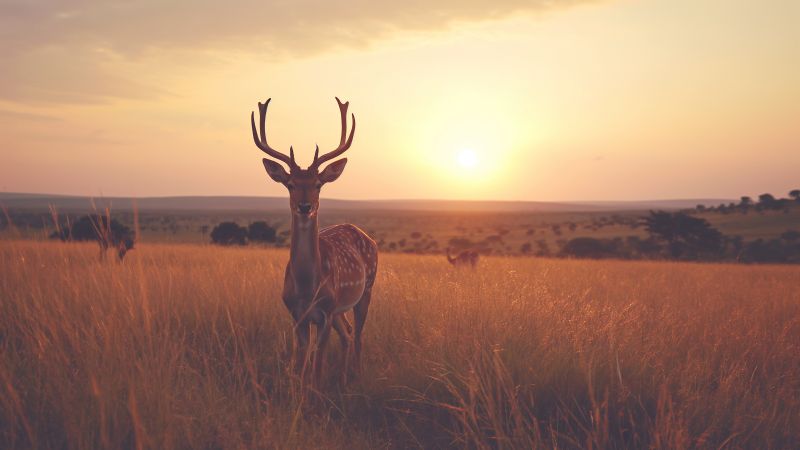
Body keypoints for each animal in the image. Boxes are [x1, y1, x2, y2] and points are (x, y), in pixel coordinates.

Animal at [250, 97, 378, 384]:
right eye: (290, 184)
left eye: (319, 184)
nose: (305, 206)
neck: (307, 289)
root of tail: (366, 236)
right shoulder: (297, 316)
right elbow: (301, 364)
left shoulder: (325, 313)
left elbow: (317, 367)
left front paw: (316, 390)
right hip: (340, 309)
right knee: (348, 334)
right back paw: (342, 377)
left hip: (365, 291)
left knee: (359, 336)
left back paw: (356, 375)